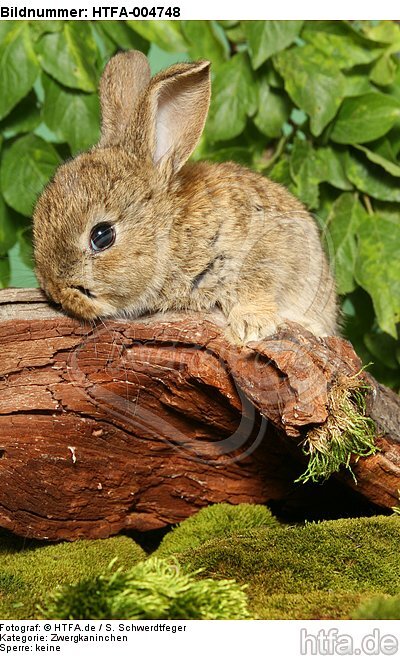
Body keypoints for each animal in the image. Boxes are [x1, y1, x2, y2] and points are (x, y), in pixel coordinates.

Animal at [32, 49, 338, 346]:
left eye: (102, 236)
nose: (55, 290)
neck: (173, 232)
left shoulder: (262, 251)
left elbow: (258, 285)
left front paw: (250, 326)